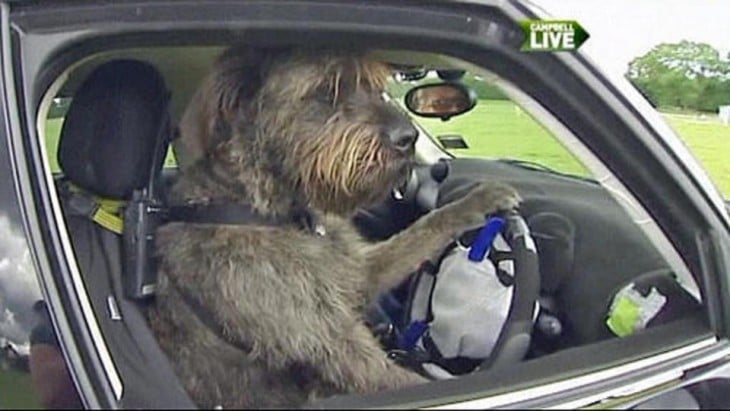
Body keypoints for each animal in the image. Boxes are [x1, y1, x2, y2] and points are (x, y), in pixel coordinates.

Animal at [146, 45, 516, 408]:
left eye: (374, 86)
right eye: (326, 90)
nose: (408, 137)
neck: (274, 211)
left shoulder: (354, 270)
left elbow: (420, 233)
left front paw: (478, 200)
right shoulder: (328, 340)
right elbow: (391, 376)